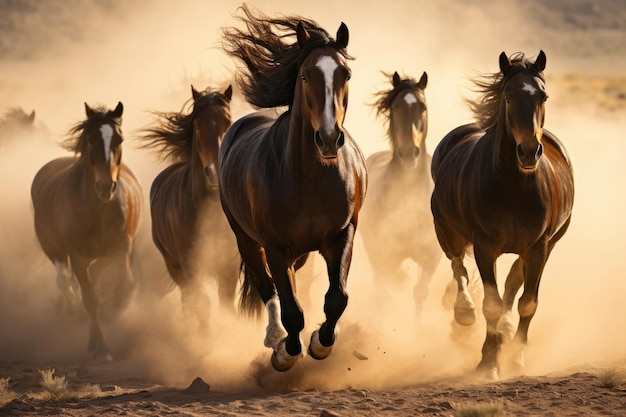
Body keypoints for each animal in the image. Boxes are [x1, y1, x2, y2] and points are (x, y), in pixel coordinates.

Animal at [31, 102, 143, 360]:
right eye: (91, 139)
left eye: (119, 139)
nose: (106, 187)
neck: (99, 209)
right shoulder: (77, 256)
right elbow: (89, 298)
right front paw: (100, 347)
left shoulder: (122, 248)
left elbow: (125, 286)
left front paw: (113, 312)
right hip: (51, 247)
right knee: (64, 280)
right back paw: (71, 308)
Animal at [140, 83, 235, 324]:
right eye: (198, 125)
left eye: (228, 122)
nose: (214, 172)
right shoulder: (190, 265)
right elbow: (202, 304)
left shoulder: (228, 265)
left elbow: (226, 304)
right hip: (173, 265)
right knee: (188, 298)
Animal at [219, 5, 366, 370]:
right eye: (304, 76)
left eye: (346, 74)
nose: (328, 138)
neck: (309, 180)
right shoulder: (274, 246)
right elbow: (291, 309)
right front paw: (286, 352)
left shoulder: (341, 234)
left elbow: (337, 298)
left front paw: (321, 342)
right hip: (246, 240)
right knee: (267, 286)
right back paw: (275, 337)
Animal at [358, 71, 442, 316]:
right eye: (395, 107)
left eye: (423, 107)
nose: (408, 153)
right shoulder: (381, 251)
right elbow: (387, 287)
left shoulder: (432, 254)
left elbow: (420, 293)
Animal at [432, 50, 572, 378]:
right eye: (508, 97)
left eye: (543, 96)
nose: (529, 151)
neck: (513, 187)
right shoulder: (485, 246)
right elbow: (491, 304)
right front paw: (488, 362)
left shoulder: (538, 247)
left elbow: (527, 302)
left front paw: (516, 358)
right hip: (447, 231)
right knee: (458, 266)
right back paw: (465, 312)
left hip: (545, 245)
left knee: (512, 282)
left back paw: (507, 329)